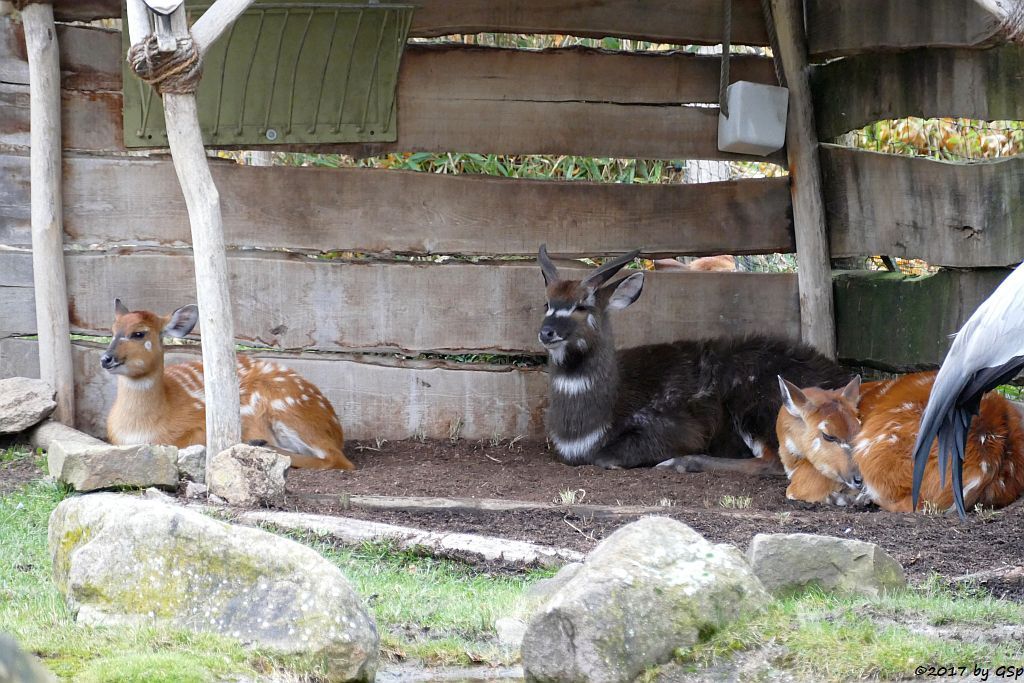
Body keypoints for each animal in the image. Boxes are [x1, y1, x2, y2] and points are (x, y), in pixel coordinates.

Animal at [101, 299, 354, 471]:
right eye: (112, 331)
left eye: (139, 333)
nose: (105, 358)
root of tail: (335, 426)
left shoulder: (201, 428)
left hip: (286, 407)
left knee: (338, 458)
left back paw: (263, 445)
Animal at [532, 244, 851, 471]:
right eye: (547, 303)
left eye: (582, 305)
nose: (546, 332)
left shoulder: (678, 428)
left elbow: (606, 457)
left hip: (754, 406)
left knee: (773, 463)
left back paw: (679, 463)